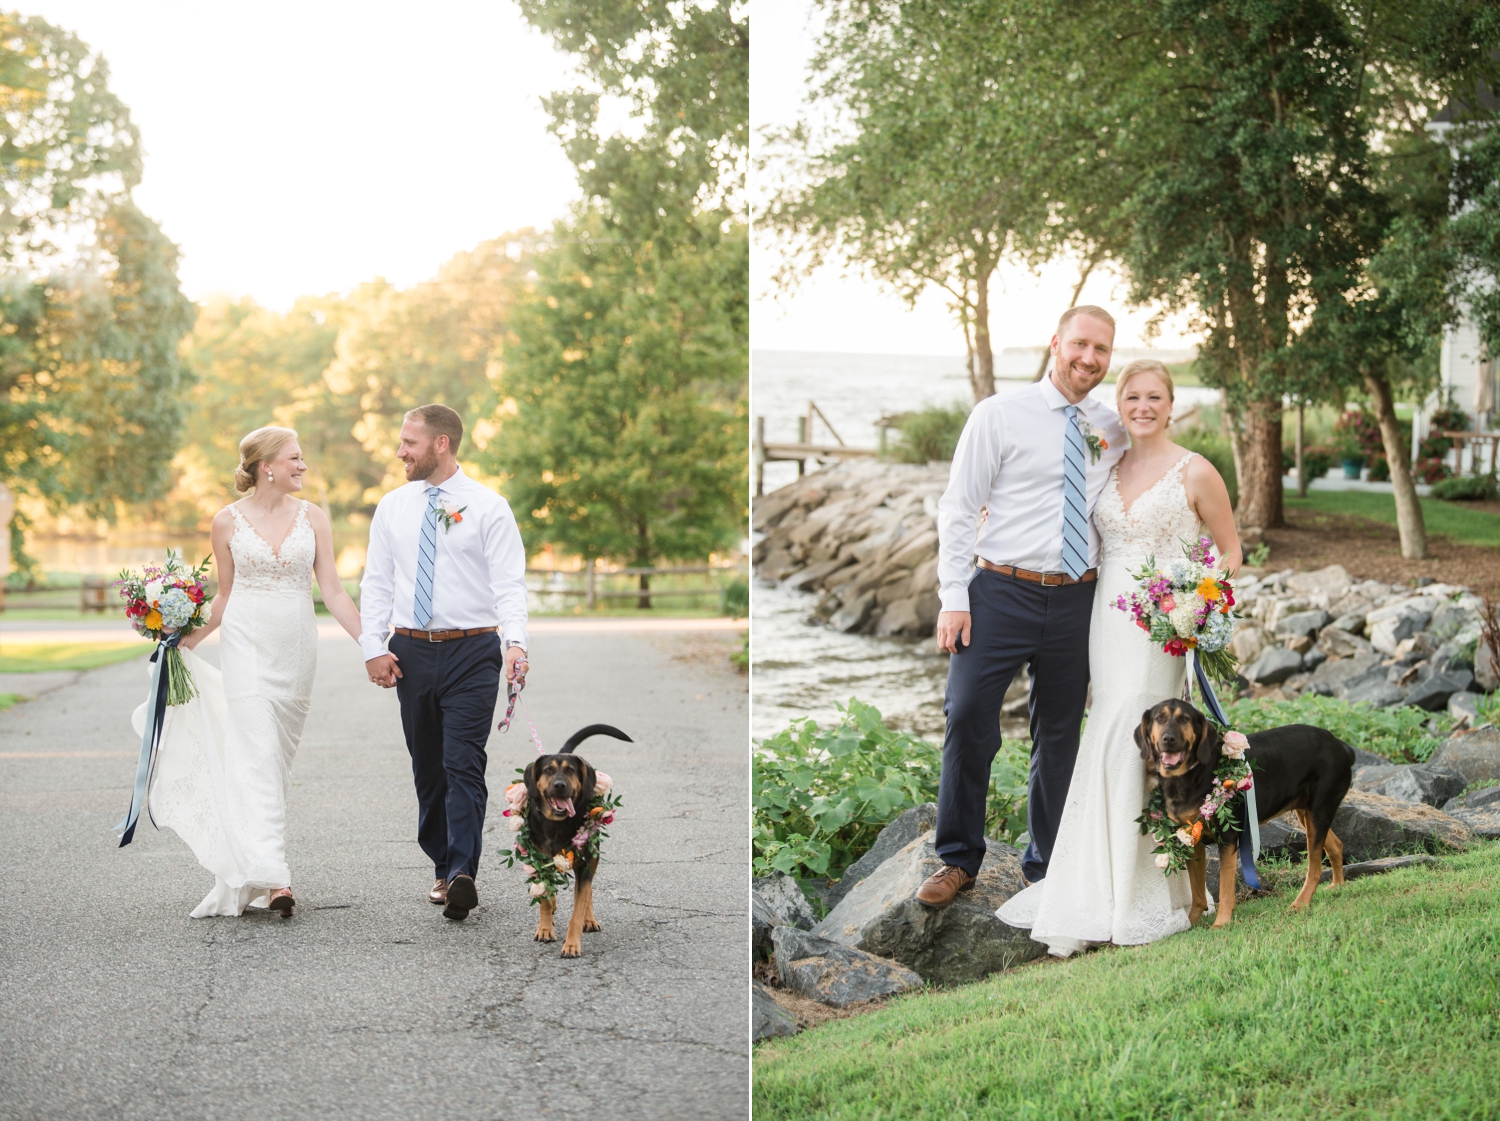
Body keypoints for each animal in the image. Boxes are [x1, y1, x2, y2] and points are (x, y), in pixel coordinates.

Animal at [525, 729, 630, 954]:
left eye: (570, 770)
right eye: (548, 770)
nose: (560, 785)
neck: (557, 824)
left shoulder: (584, 864)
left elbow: (579, 905)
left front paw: (572, 944)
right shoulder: (538, 861)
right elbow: (544, 900)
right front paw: (545, 929)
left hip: (591, 856)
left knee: (587, 890)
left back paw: (589, 919)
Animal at [1134, 702, 1362, 930]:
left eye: (1184, 719)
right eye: (1159, 718)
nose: (1168, 739)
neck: (1188, 776)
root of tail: (1341, 745)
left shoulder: (1227, 838)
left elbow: (1226, 886)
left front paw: (1221, 923)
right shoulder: (1191, 837)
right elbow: (1197, 893)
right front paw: (1190, 923)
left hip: (1319, 808)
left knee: (1315, 869)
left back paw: (1300, 903)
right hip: (1307, 812)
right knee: (1336, 845)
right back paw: (1337, 886)